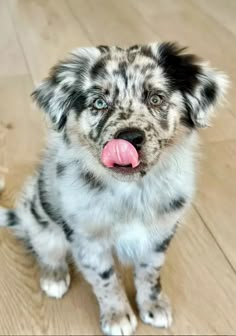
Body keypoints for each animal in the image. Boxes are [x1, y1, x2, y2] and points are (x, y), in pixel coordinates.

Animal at [0, 42, 228, 336]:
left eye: (156, 99)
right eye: (99, 103)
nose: (129, 138)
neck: (132, 192)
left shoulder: (160, 233)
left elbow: (150, 273)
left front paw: (153, 305)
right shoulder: (87, 238)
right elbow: (105, 280)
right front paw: (117, 316)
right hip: (39, 216)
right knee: (44, 249)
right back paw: (54, 276)